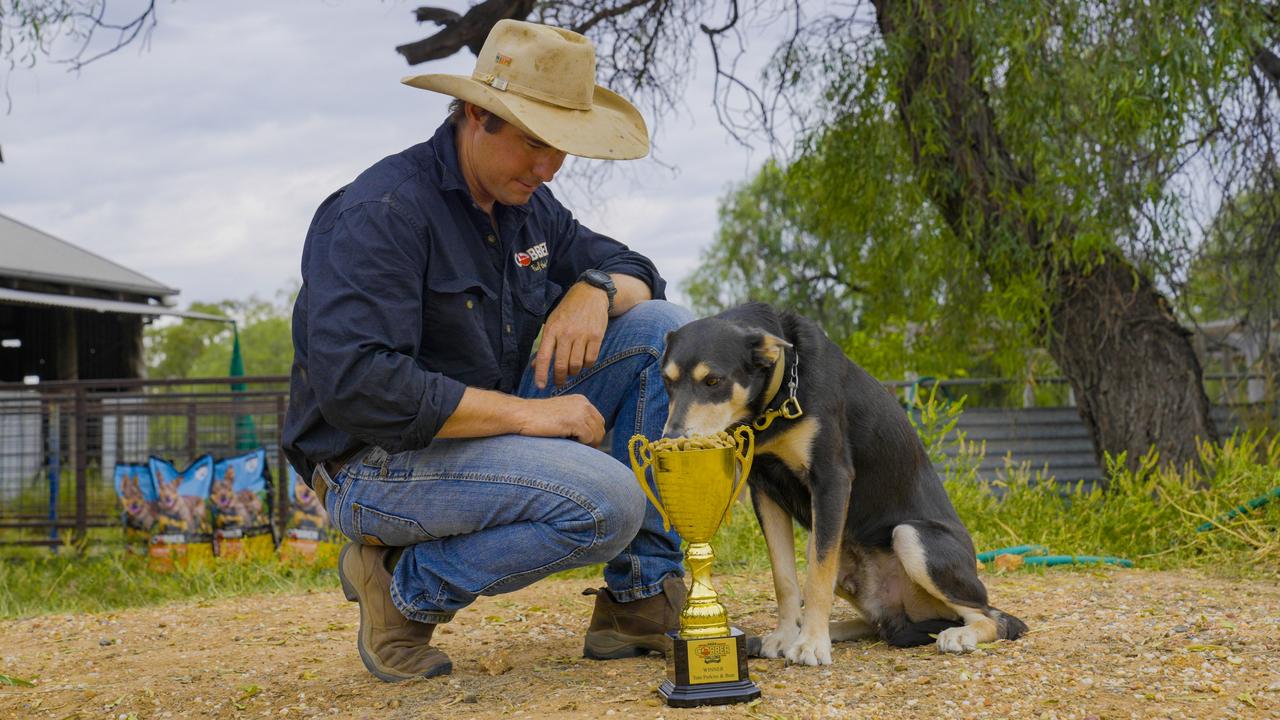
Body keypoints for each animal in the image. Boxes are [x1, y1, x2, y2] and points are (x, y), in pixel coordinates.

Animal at [665, 301, 1024, 661]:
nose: (671, 438)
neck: (781, 395)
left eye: (713, 380)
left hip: (912, 536)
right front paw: (786, 636)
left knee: (995, 617)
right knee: (879, 624)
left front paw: (810, 643)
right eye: (666, 380)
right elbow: (784, 578)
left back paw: (960, 635)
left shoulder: (830, 479)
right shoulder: (764, 491)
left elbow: (817, 576)